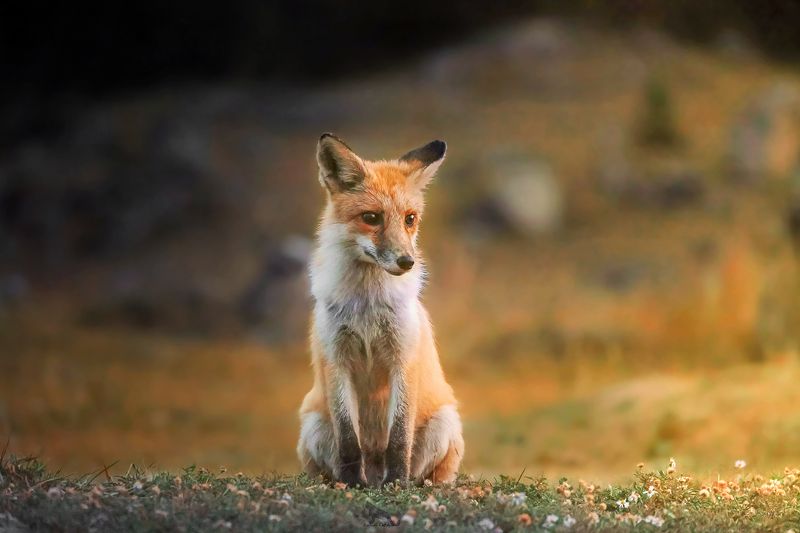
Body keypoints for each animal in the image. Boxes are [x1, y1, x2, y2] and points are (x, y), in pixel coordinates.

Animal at [297, 133, 464, 487]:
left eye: (410, 219)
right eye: (371, 218)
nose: (406, 261)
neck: (367, 307)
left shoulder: (403, 357)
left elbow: (399, 438)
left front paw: (397, 482)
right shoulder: (336, 359)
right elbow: (349, 440)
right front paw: (351, 484)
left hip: (444, 423)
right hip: (313, 426)